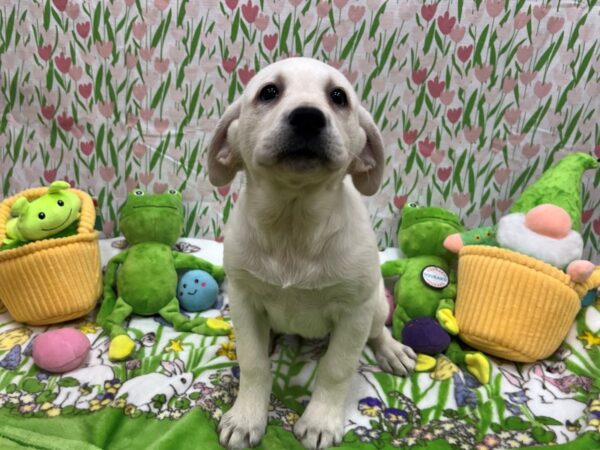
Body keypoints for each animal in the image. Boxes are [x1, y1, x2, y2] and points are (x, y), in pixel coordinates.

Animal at [209, 58, 414, 448]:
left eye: (338, 97)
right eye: (269, 92)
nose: (308, 117)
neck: (294, 223)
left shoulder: (354, 312)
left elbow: (336, 369)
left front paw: (320, 421)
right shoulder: (243, 300)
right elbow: (254, 364)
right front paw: (247, 416)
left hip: (375, 305)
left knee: (378, 330)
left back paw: (392, 349)